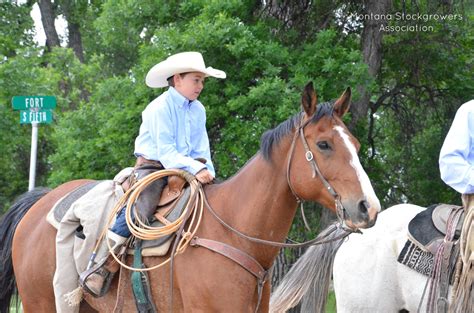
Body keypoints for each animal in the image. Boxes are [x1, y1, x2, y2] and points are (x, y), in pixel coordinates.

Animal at [0, 81, 378, 310]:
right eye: (324, 144)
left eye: (357, 145)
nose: (367, 207)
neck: (233, 233)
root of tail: (40, 203)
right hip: (41, 302)